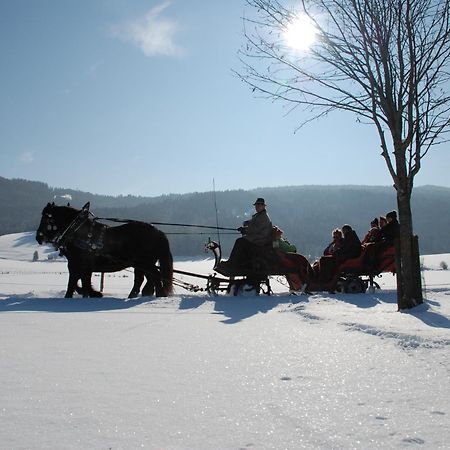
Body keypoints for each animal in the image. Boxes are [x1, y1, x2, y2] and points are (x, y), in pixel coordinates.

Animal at [36, 202, 173, 298]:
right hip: (141, 263)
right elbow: (81, 281)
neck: (76, 231)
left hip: (145, 262)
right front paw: (92, 293)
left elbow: (74, 281)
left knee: (154, 276)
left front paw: (75, 296)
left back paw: (159, 294)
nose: (38, 237)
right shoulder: (81, 265)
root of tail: (158, 231)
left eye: (46, 218)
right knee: (146, 278)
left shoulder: (77, 264)